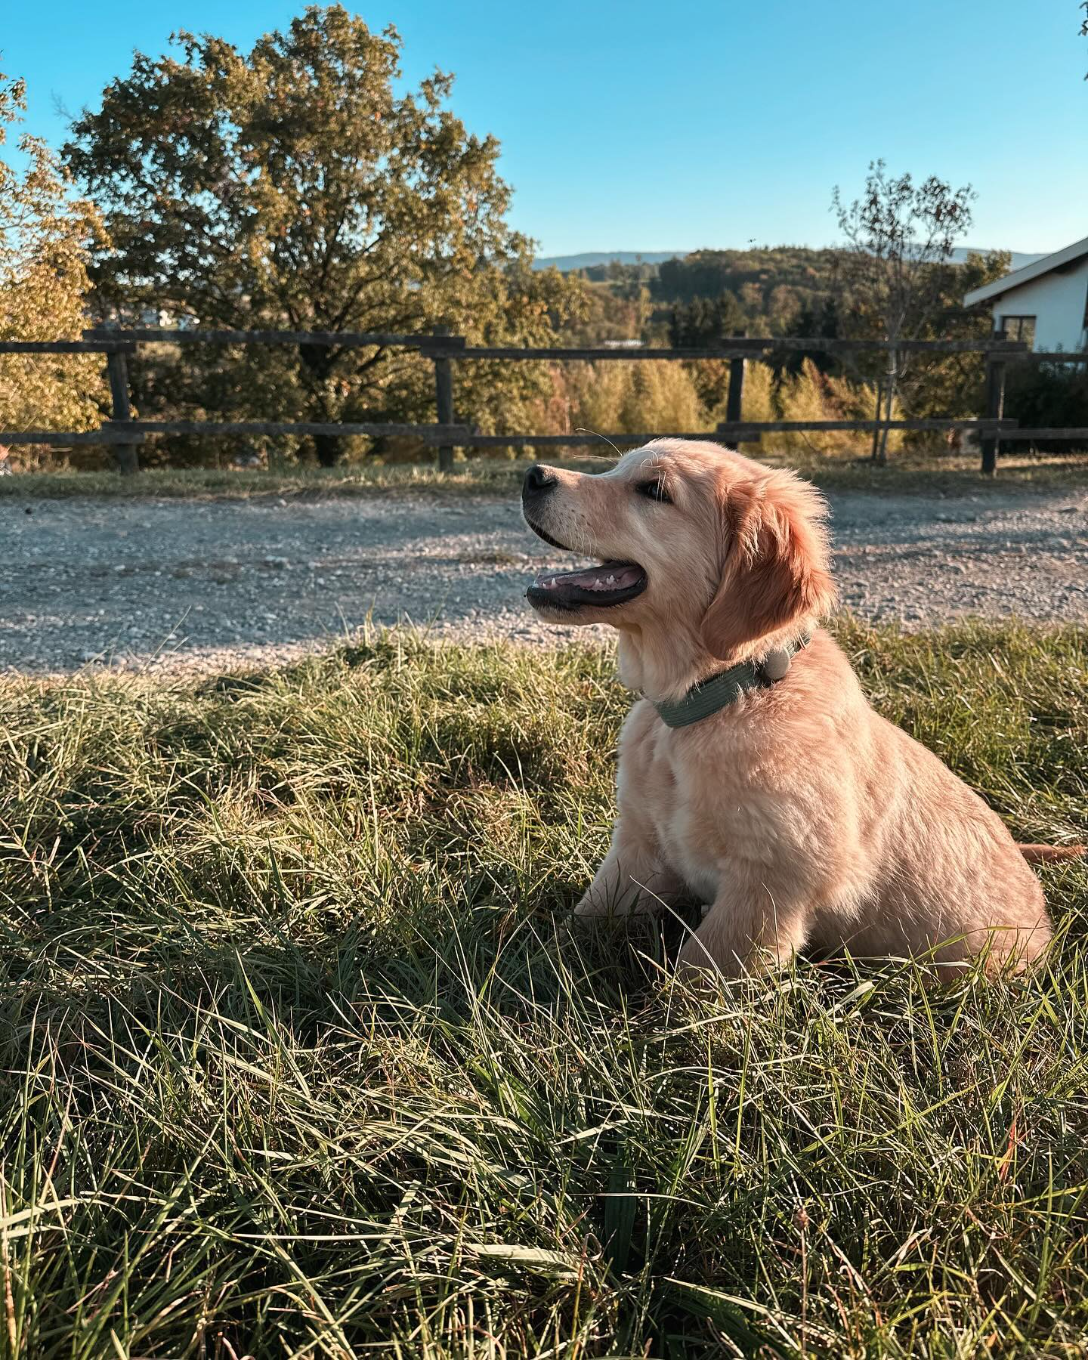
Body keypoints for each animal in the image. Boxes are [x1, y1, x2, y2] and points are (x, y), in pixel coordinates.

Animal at [522, 440, 1060, 984]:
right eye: (616, 467)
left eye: (653, 490)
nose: (533, 475)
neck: (719, 695)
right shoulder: (636, 847)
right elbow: (579, 921)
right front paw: (533, 961)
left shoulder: (767, 889)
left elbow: (694, 977)